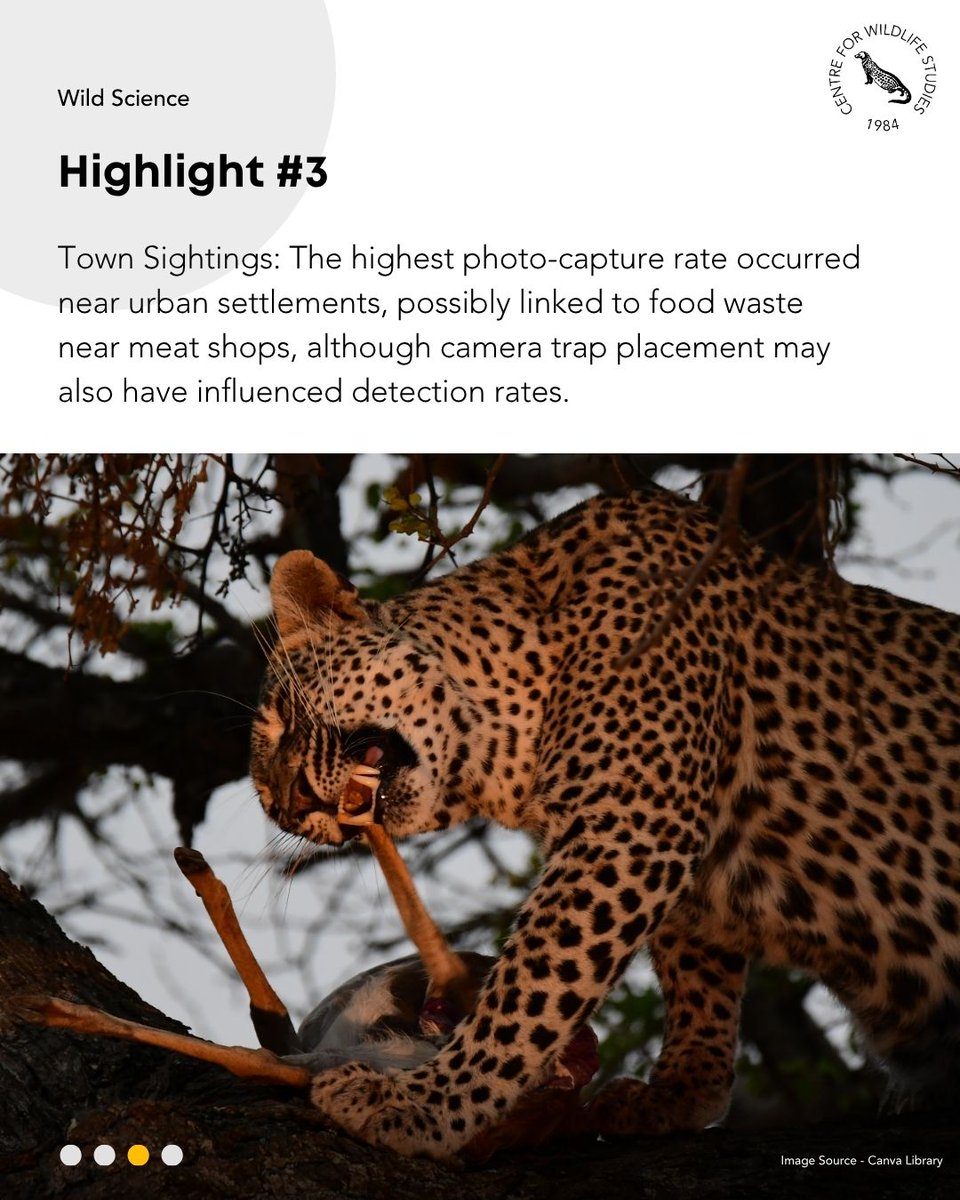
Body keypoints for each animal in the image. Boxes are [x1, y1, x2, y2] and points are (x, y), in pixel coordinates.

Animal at [251, 488, 960, 1161]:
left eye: (285, 715)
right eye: (262, 796)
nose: (289, 806)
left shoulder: (630, 827)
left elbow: (530, 992)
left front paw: (426, 1105)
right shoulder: (656, 844)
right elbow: (697, 976)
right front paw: (683, 1093)